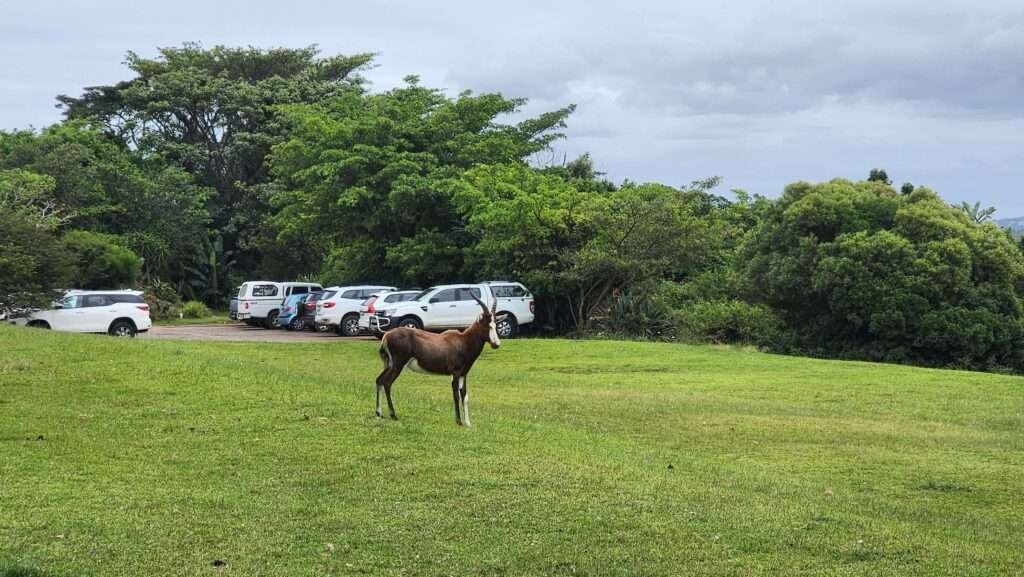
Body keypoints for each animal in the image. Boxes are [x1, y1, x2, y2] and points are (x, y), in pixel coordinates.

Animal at [376, 293, 503, 424]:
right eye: (486, 325)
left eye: (495, 324)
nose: (496, 344)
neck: (463, 341)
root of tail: (386, 336)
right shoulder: (455, 373)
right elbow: (456, 395)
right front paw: (459, 421)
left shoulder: (464, 374)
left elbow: (465, 396)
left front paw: (468, 423)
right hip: (398, 365)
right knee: (387, 383)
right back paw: (393, 415)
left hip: (389, 364)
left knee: (379, 380)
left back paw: (379, 413)